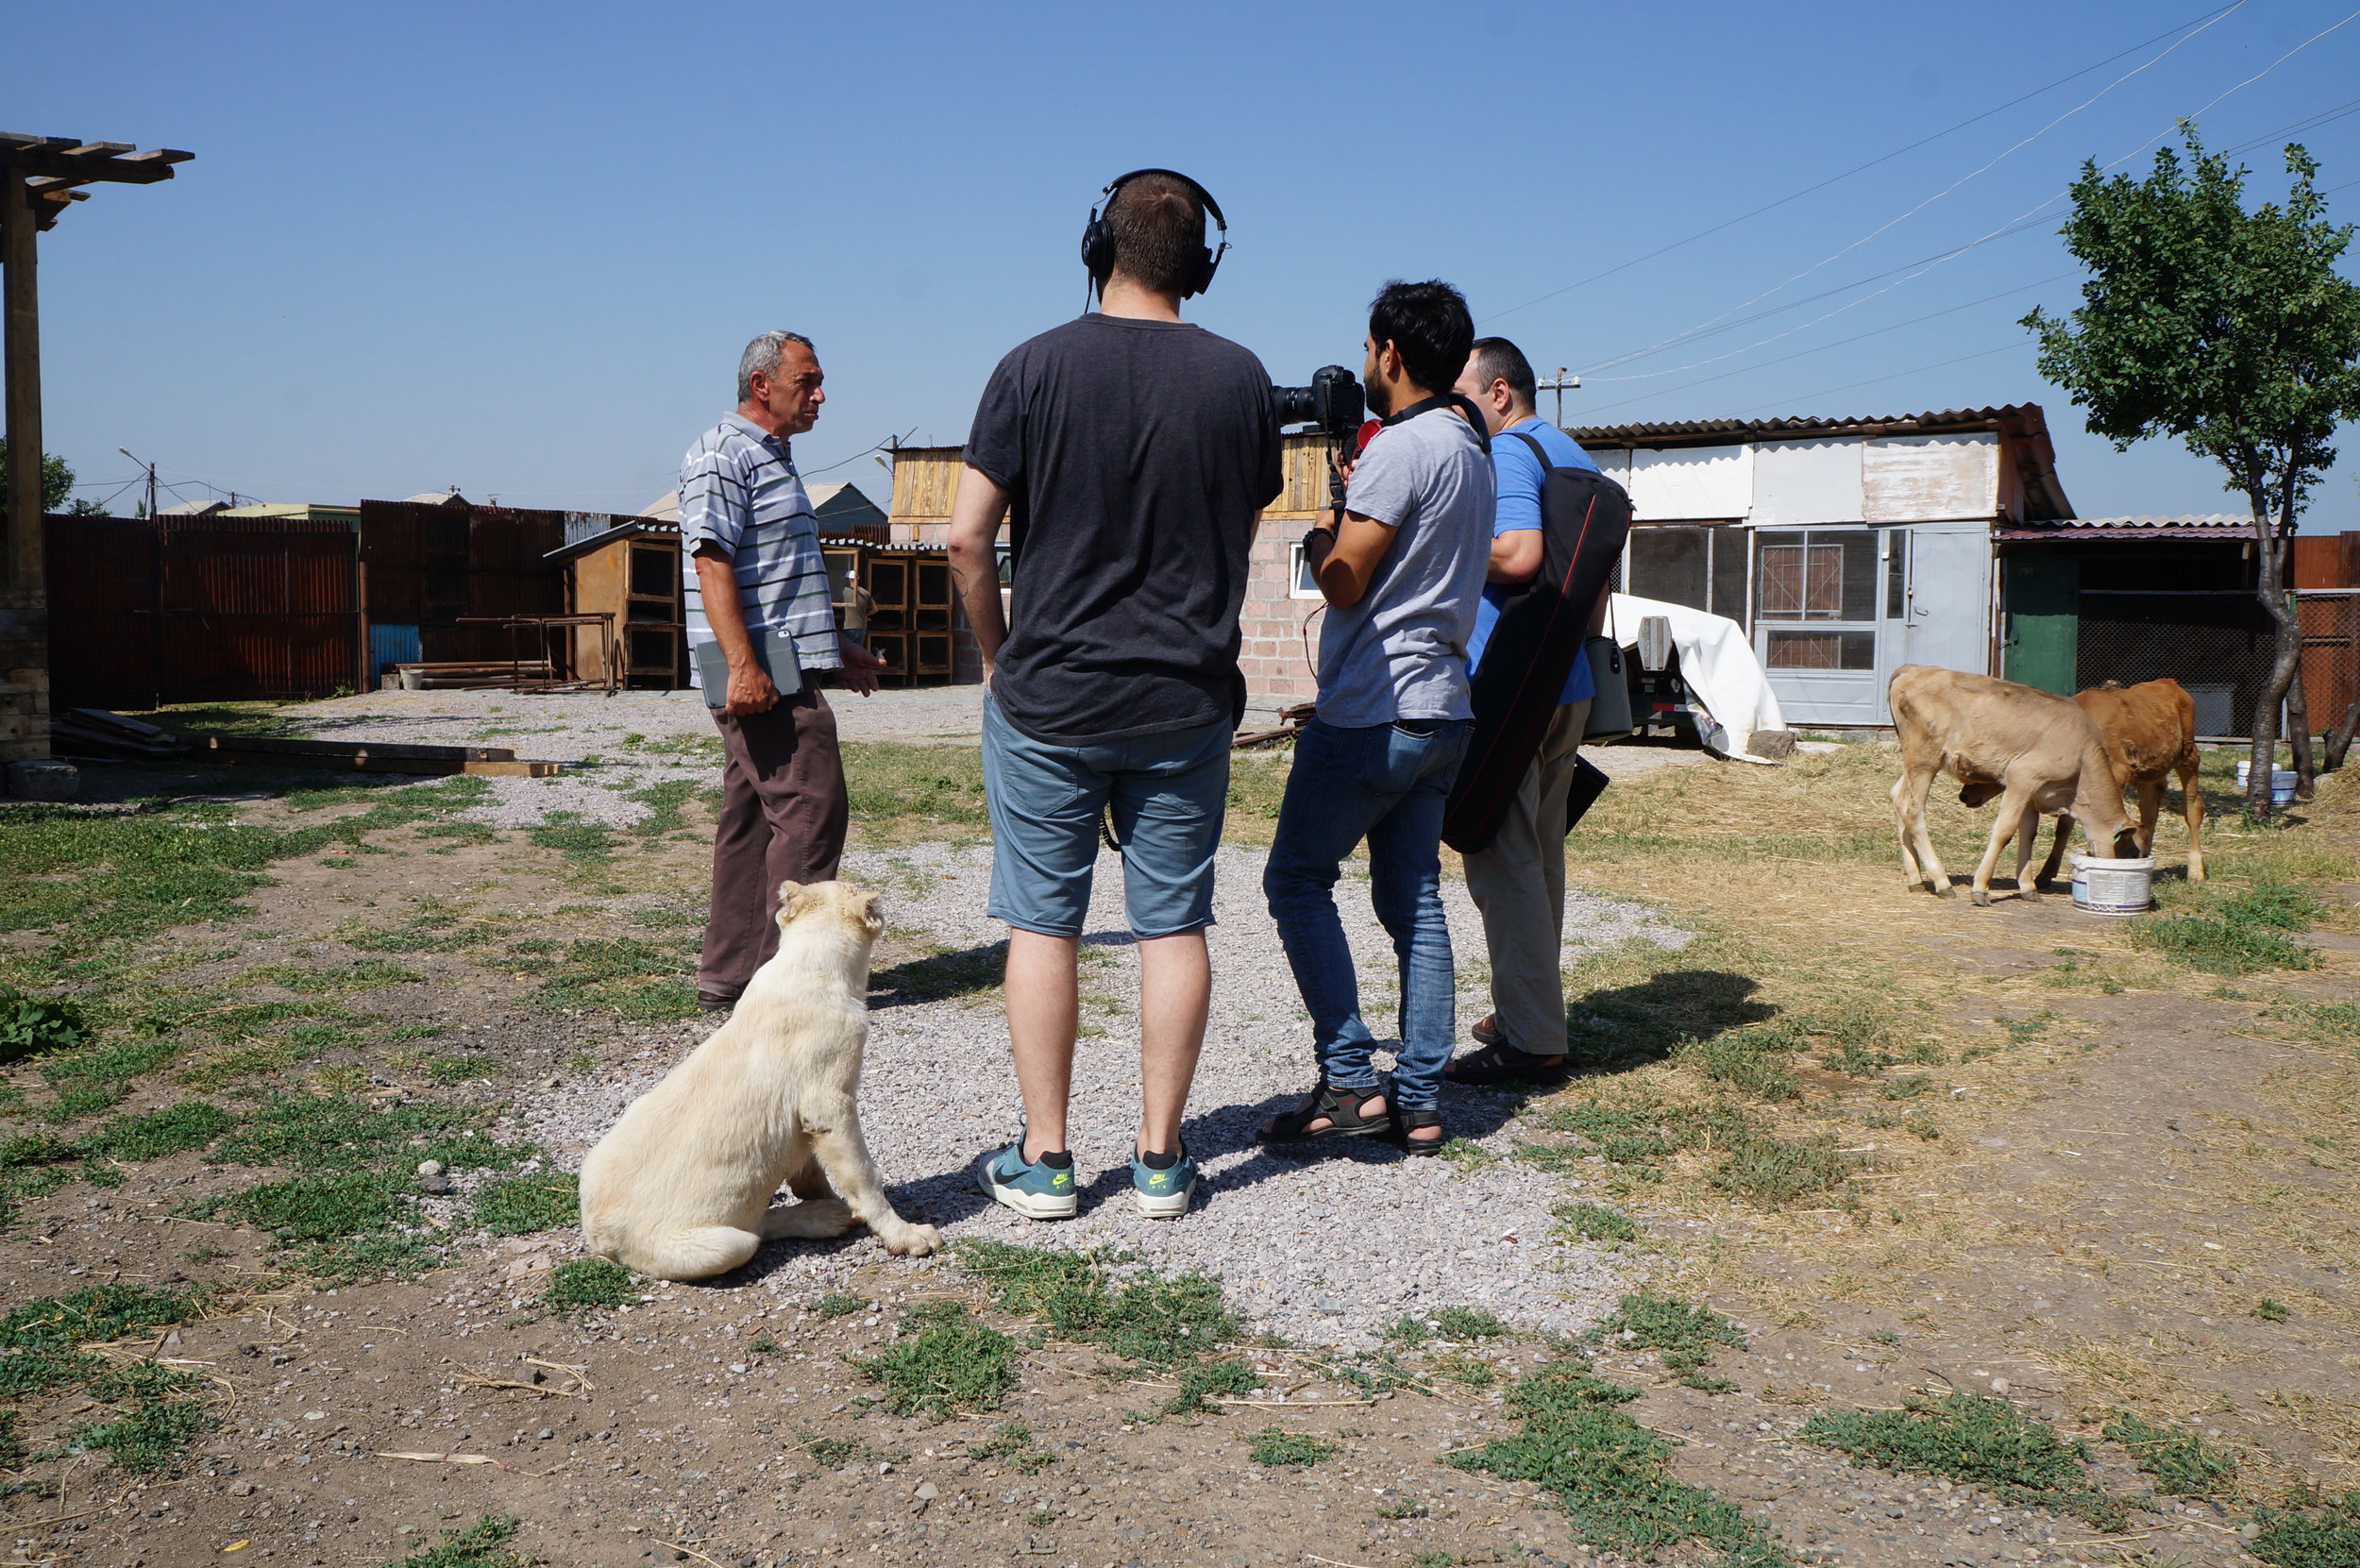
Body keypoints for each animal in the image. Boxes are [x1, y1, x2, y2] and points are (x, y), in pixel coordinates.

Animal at [578, 873, 939, 1284]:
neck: (808, 967)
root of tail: (600, 1237)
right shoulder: (830, 1103)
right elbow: (864, 1176)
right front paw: (905, 1235)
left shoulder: (805, 1119)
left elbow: (811, 1168)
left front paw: (824, 1194)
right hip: (718, 1246)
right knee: (755, 1231)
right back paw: (821, 1218)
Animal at [1879, 661, 2143, 906]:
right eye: (2131, 852)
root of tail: (1914, 668)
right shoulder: (2021, 776)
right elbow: (2004, 832)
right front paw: (1981, 889)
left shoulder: (2033, 792)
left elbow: (2028, 833)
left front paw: (2028, 888)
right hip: (1925, 758)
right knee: (1912, 810)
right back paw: (1942, 882)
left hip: (1915, 761)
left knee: (1897, 797)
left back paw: (1916, 879)